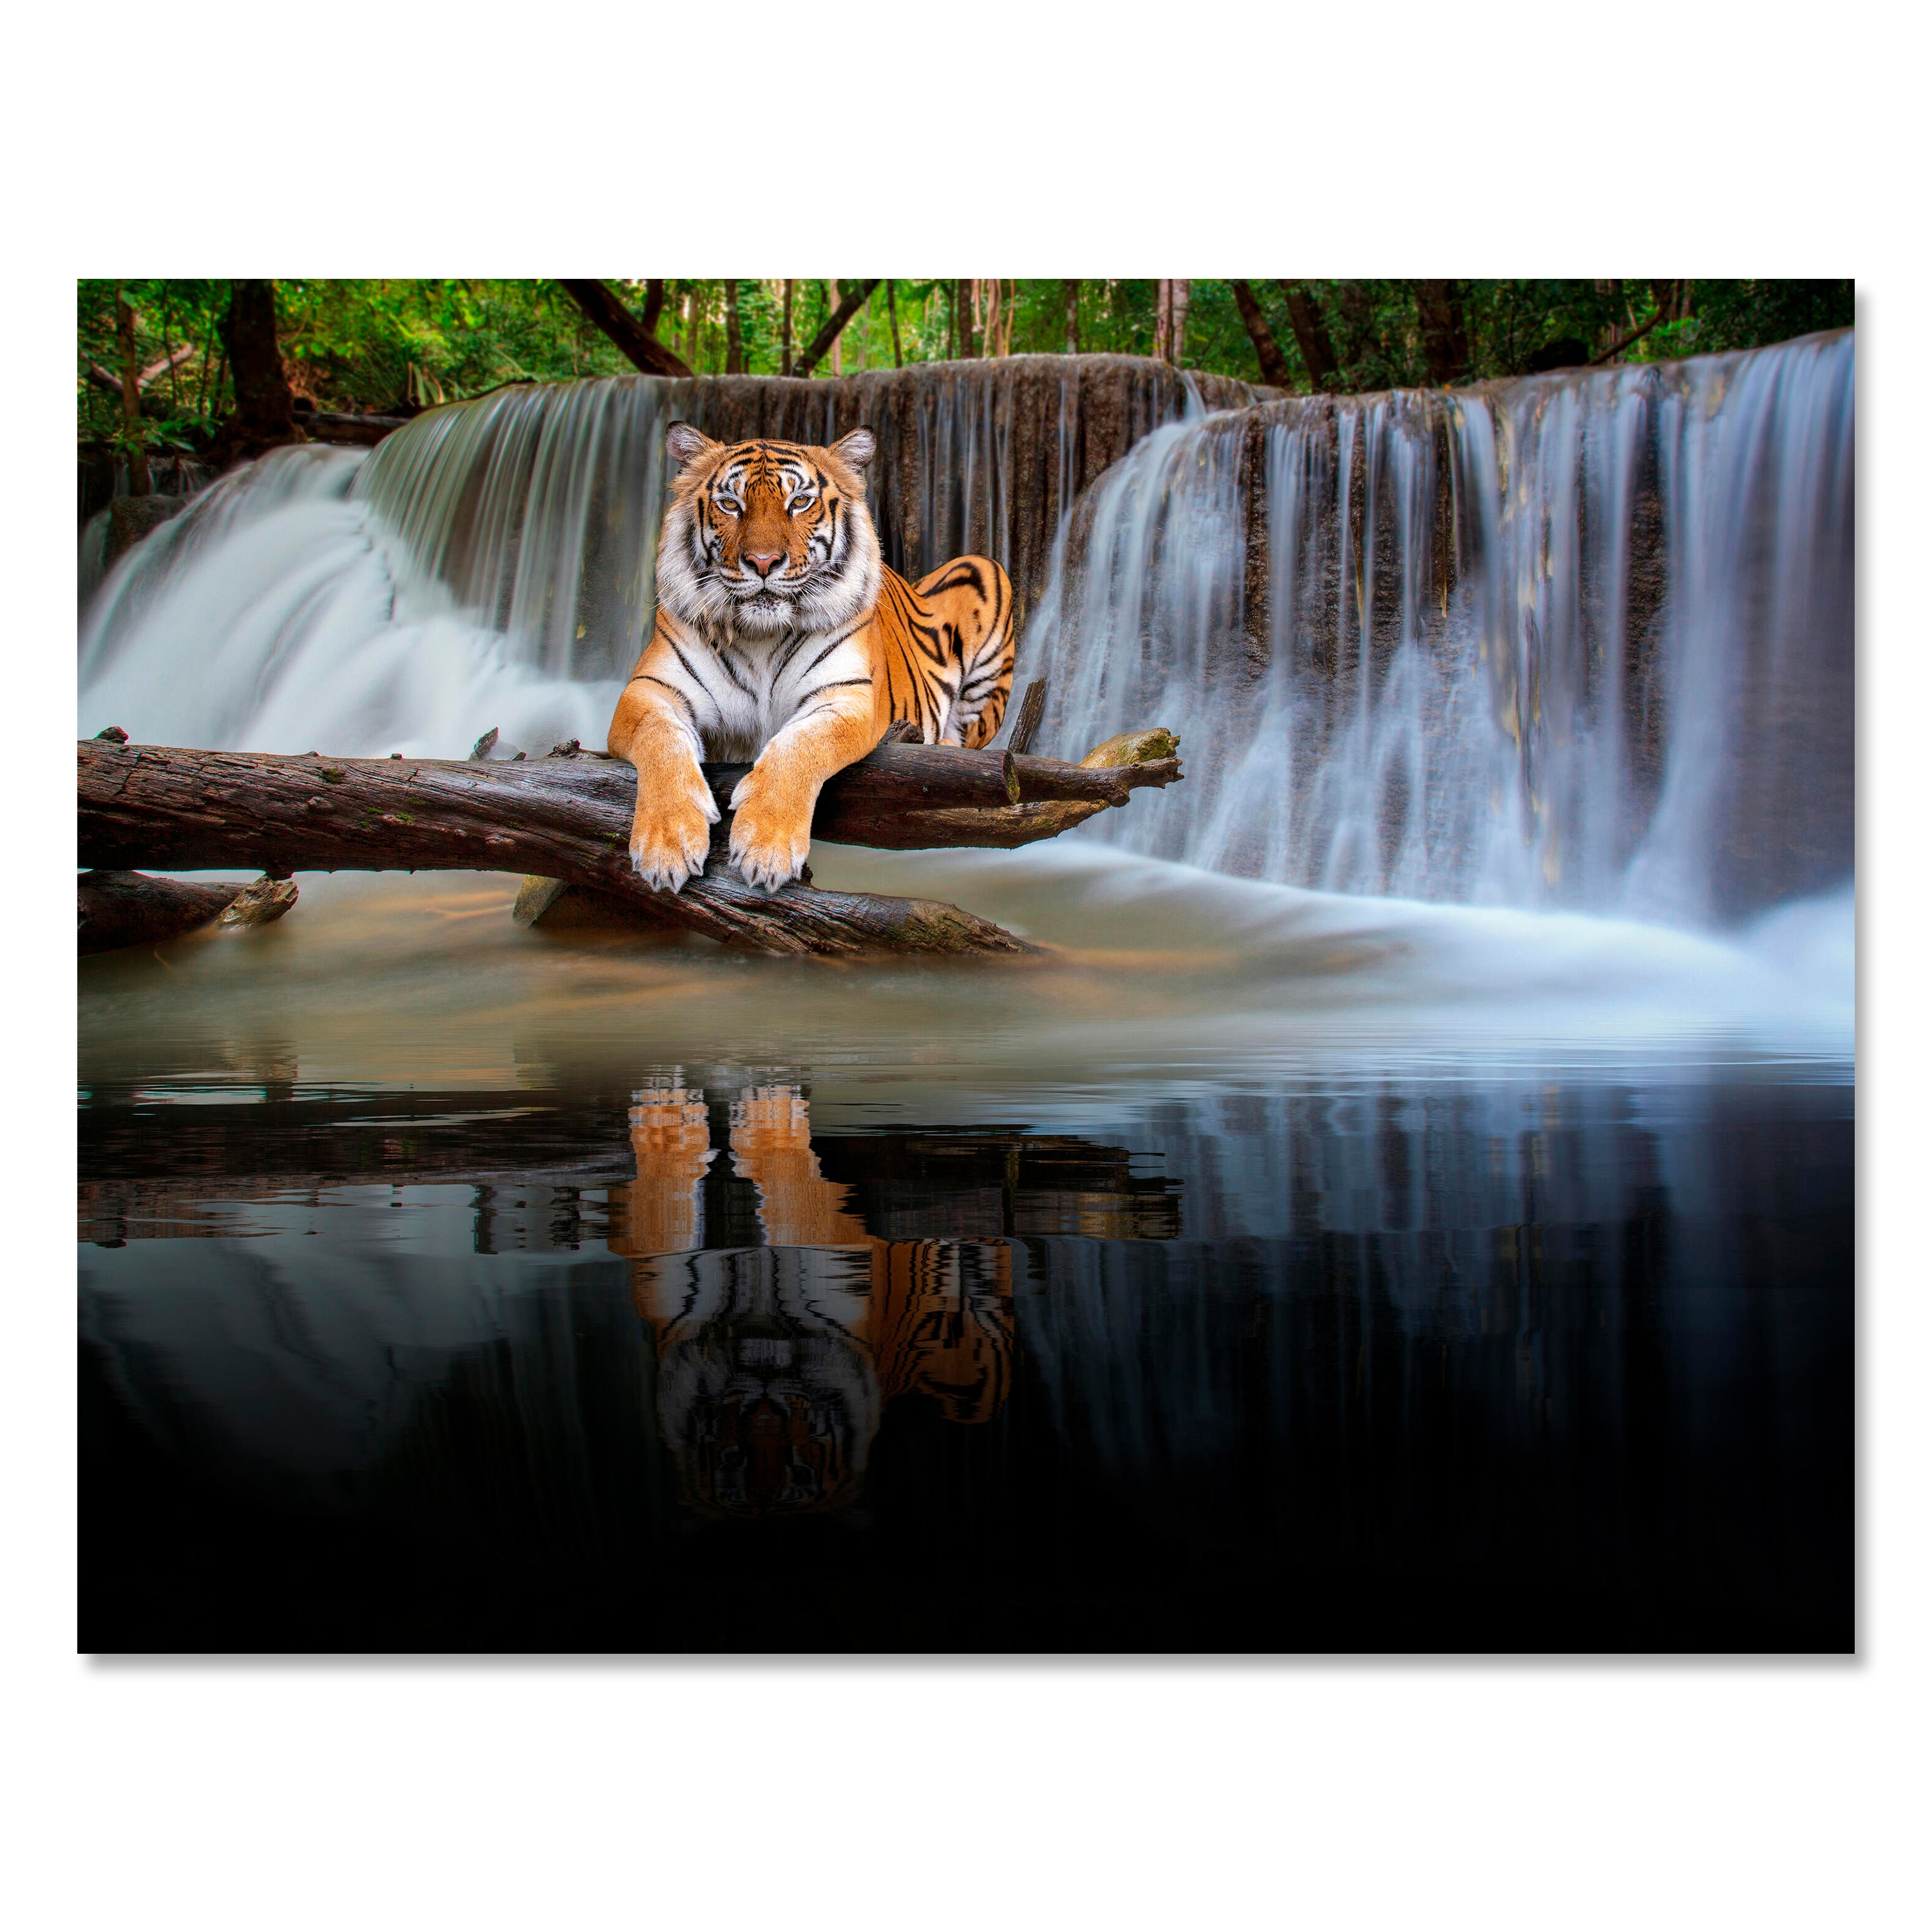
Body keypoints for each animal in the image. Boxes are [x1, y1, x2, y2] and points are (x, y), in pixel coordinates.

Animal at [608, 422, 1015, 894]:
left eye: (799, 502)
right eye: (731, 504)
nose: (763, 562)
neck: (760, 637)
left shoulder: (846, 697)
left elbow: (799, 744)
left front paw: (766, 846)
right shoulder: (650, 690)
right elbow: (660, 740)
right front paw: (667, 843)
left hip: (984, 569)